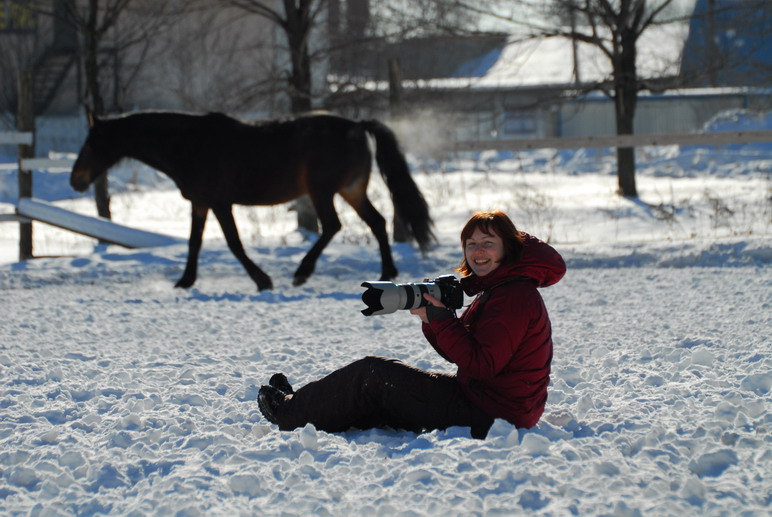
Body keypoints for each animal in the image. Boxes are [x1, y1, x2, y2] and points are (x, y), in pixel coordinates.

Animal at [70, 111, 434, 288]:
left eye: (90, 143)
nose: (76, 180)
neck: (189, 145)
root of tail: (357, 125)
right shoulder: (200, 203)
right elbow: (194, 242)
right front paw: (185, 281)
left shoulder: (220, 203)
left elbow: (234, 243)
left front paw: (263, 280)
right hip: (352, 190)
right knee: (377, 222)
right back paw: (387, 272)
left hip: (323, 191)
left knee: (333, 226)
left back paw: (302, 272)